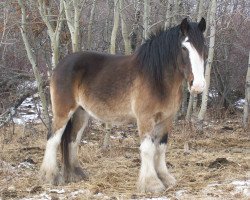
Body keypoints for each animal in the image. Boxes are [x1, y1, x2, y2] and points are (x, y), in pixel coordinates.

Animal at [40, 17, 206, 194]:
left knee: (72, 139)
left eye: (203, 47)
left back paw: (76, 175)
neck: (157, 78)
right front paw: (152, 184)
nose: (198, 85)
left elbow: (161, 148)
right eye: (184, 47)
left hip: (81, 113)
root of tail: (60, 65)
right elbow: (148, 149)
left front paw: (166, 179)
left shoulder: (166, 119)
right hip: (63, 112)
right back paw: (50, 176)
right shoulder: (145, 119)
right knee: (53, 138)